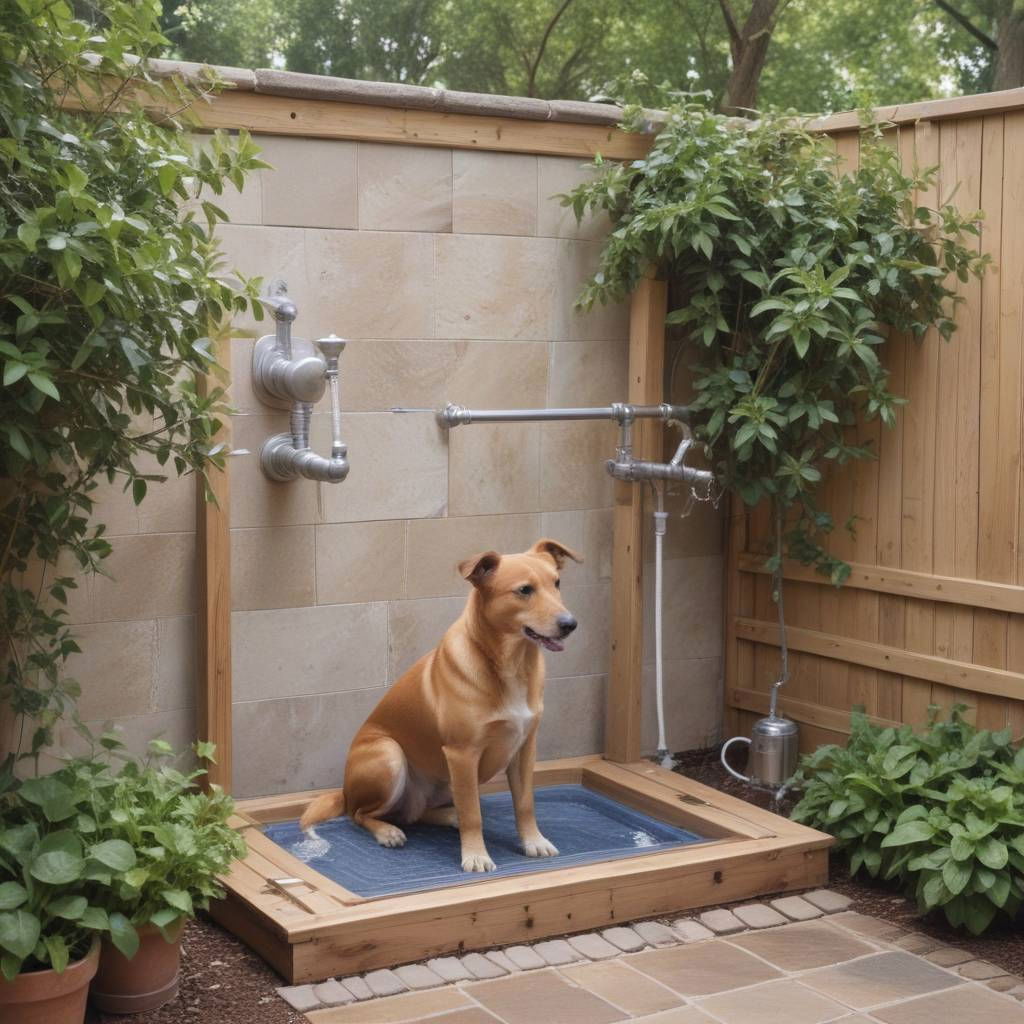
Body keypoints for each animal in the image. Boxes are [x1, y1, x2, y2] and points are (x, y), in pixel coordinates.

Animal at [299, 536, 581, 872]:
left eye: (557, 583)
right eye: (525, 590)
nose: (570, 623)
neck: (511, 664)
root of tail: (343, 790)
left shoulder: (525, 749)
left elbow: (525, 803)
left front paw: (533, 841)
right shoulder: (462, 754)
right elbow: (473, 814)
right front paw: (475, 855)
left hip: (443, 782)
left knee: (418, 813)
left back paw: (447, 815)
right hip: (390, 756)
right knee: (361, 814)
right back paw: (388, 832)